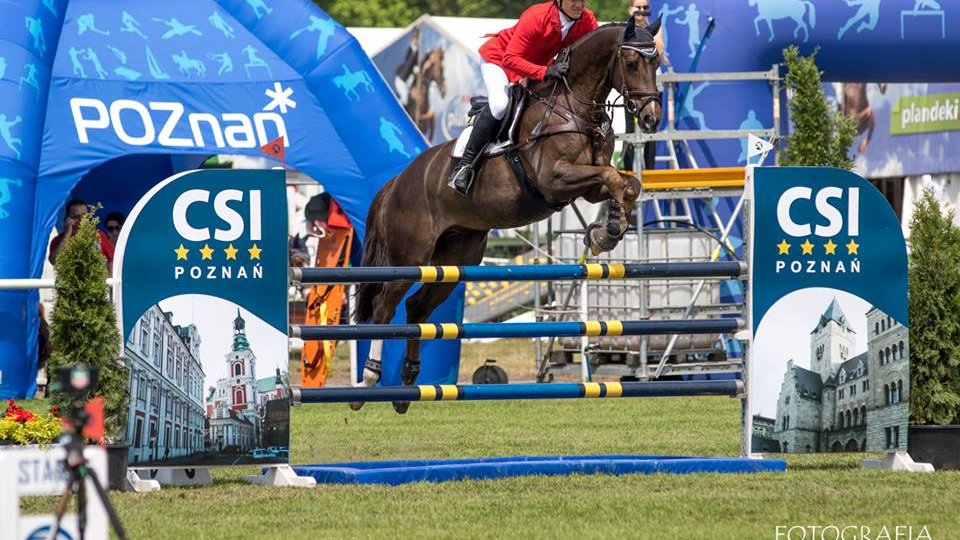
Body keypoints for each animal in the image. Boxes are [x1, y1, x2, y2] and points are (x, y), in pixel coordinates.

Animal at [356, 16, 664, 414]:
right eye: (630, 63)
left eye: (657, 62)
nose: (651, 117)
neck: (574, 106)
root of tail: (395, 184)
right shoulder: (555, 179)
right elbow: (612, 178)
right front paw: (607, 231)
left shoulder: (585, 183)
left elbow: (626, 184)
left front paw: (607, 230)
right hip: (410, 257)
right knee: (384, 306)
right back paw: (369, 378)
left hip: (456, 257)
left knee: (417, 308)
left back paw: (408, 382)